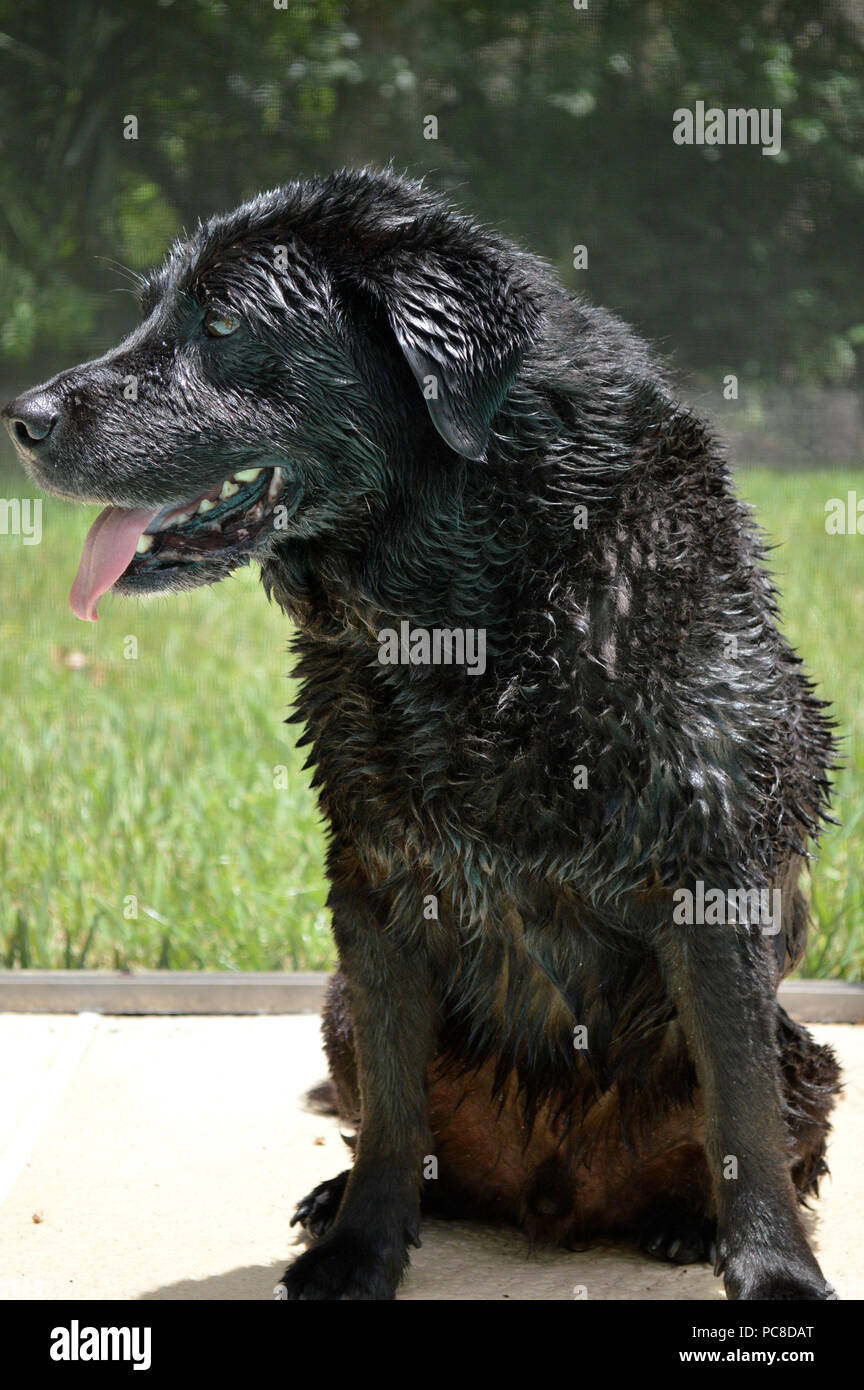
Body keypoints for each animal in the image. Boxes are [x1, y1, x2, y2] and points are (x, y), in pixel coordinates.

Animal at [5, 168, 844, 1295]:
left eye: (219, 323)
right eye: (149, 312)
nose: (22, 416)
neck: (475, 605)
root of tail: (554, 1192)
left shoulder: (713, 878)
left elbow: (742, 1117)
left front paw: (775, 1273)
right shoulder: (375, 879)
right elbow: (397, 1117)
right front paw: (359, 1250)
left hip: (811, 1055)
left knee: (773, 1123)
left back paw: (683, 1222)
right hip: (335, 1011)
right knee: (381, 1118)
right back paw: (341, 1199)